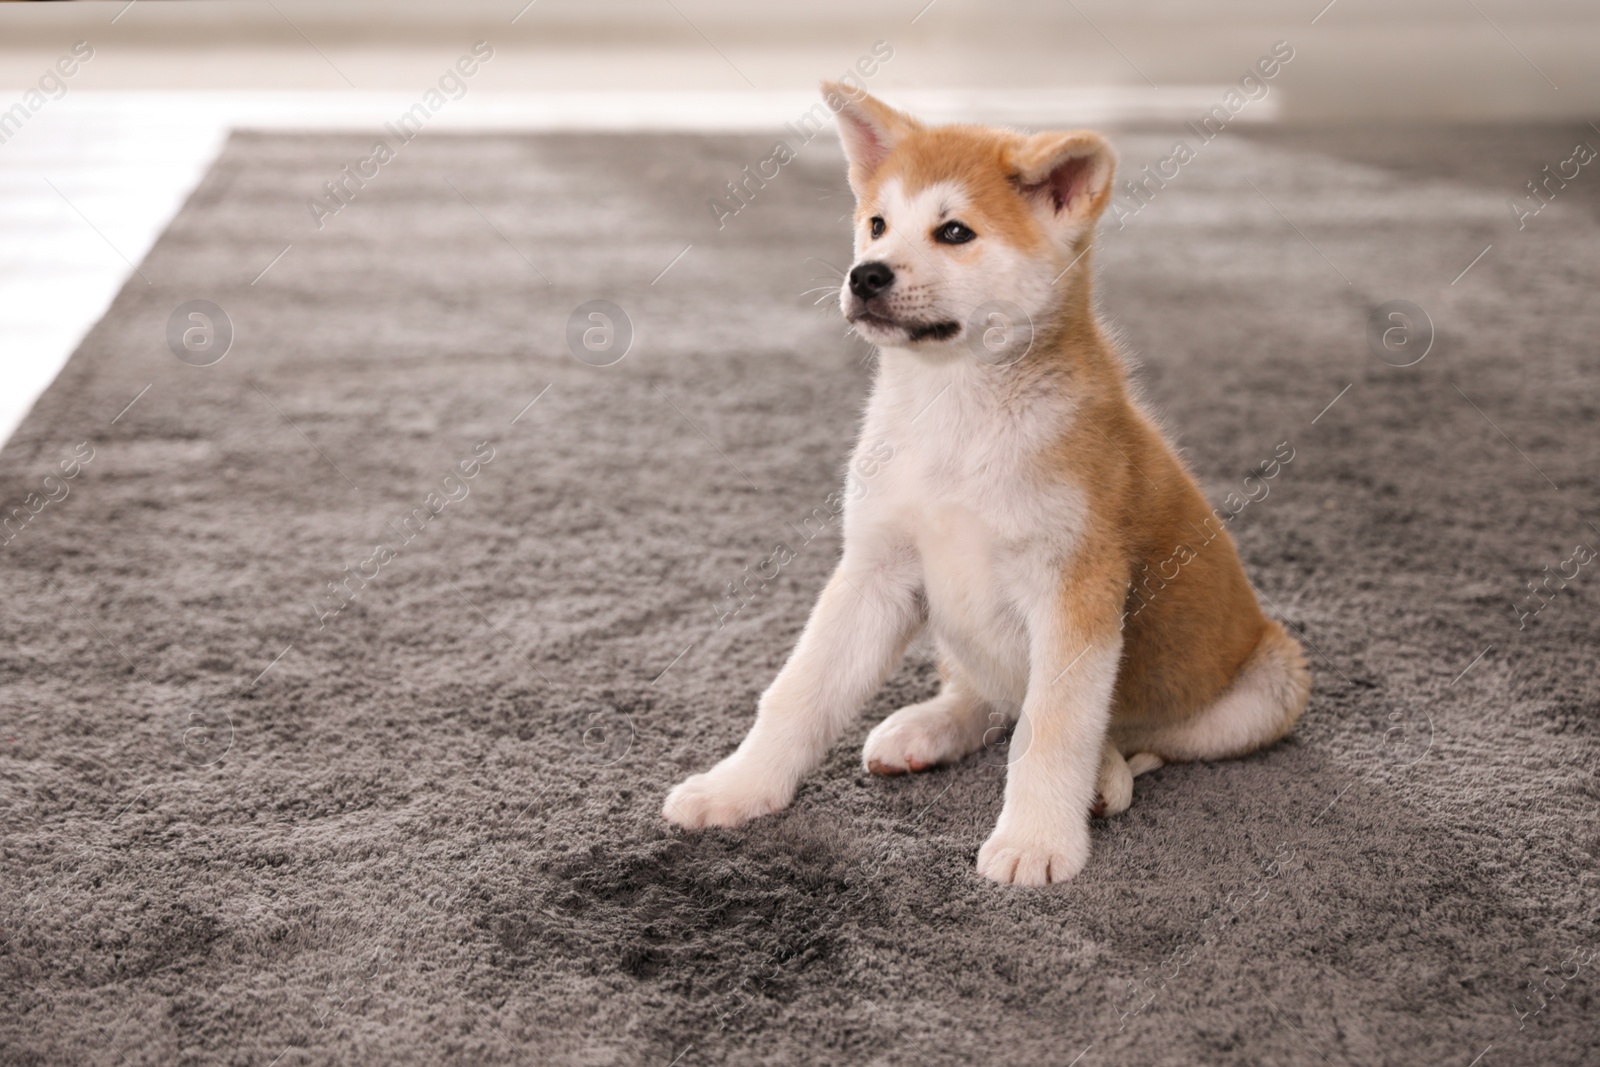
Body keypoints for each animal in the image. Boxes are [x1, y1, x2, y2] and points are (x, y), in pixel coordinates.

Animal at [662, 85, 1312, 883]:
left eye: (954, 232)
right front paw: (739, 786)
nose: (866, 274)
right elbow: (797, 694)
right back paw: (928, 726)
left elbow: (1053, 729)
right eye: (876, 225)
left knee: (1124, 736)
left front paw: (1036, 839)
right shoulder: (876, 570)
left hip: (1266, 685)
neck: (955, 415)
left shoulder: (1075, 590)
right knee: (987, 698)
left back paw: (1104, 776)